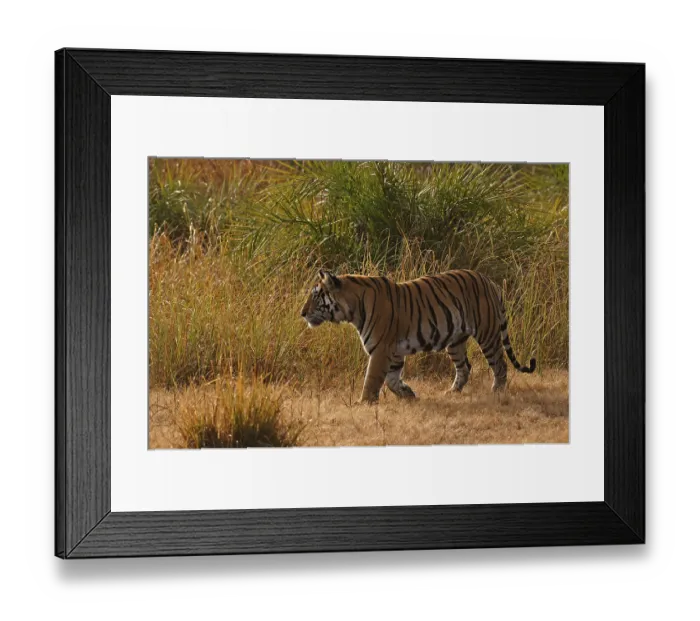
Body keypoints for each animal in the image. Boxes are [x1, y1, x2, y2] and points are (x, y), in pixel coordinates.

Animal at [300, 269, 536, 403]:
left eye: (316, 295)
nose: (302, 313)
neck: (353, 309)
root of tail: (489, 281)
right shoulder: (393, 352)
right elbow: (391, 380)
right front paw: (408, 394)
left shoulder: (381, 350)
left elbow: (372, 379)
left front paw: (363, 403)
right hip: (455, 341)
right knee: (465, 368)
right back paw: (452, 392)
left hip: (487, 334)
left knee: (500, 364)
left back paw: (497, 391)